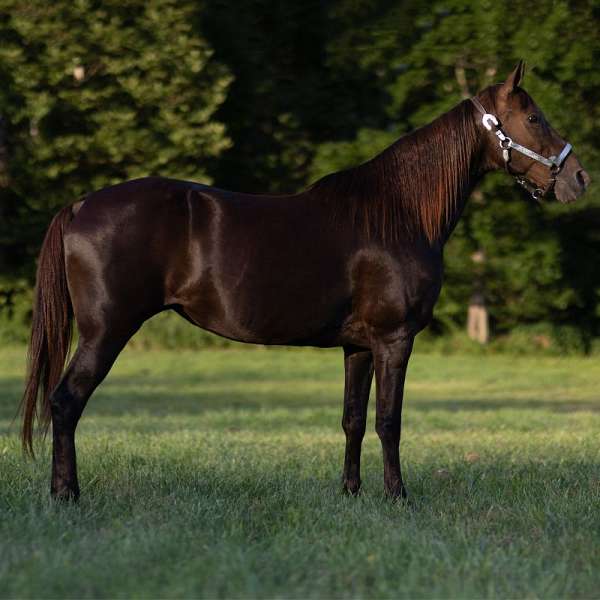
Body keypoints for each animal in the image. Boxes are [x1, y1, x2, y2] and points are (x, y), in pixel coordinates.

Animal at [21, 61, 588, 502]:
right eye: (533, 117)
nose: (578, 178)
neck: (399, 213)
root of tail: (80, 205)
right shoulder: (395, 339)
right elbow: (389, 420)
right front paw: (398, 497)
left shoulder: (359, 346)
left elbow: (354, 419)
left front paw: (352, 493)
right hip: (106, 332)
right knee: (66, 402)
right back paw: (67, 495)